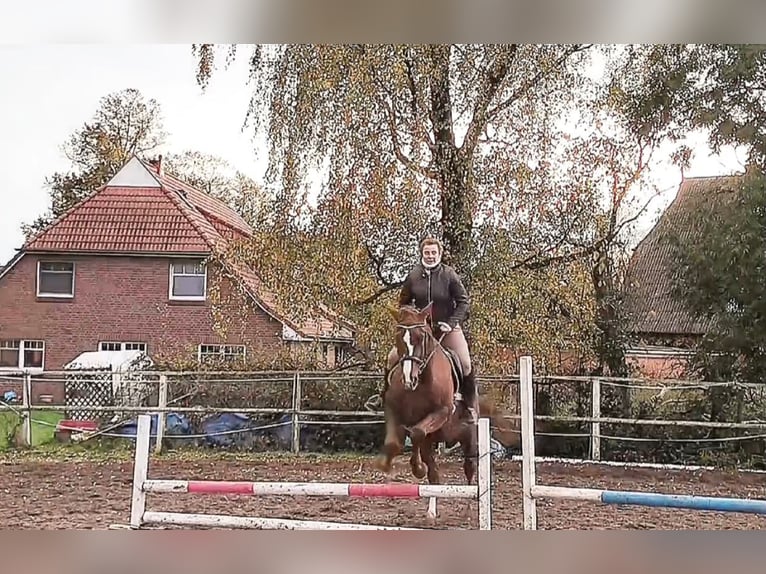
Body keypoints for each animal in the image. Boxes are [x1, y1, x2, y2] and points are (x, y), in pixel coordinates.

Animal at [378, 304, 486, 488]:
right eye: (398, 338)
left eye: (421, 337)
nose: (409, 379)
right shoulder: (393, 409)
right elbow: (397, 442)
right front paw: (387, 465)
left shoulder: (442, 411)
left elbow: (417, 432)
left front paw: (418, 469)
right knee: (433, 468)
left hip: (469, 435)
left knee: (469, 464)